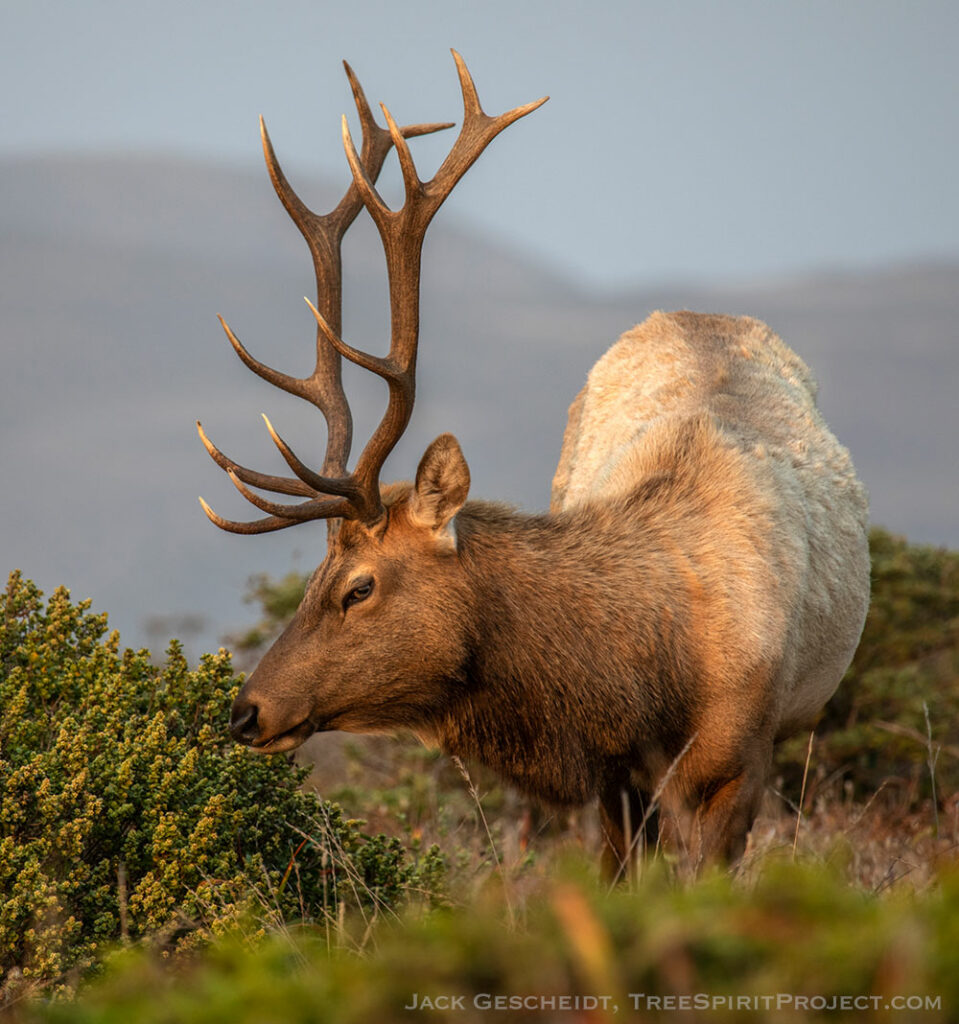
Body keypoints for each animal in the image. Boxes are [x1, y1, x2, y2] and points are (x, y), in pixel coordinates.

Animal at [198, 54, 872, 872]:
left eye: (359, 588)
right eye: (311, 579)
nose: (245, 711)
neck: (652, 675)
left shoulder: (738, 765)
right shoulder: (616, 776)